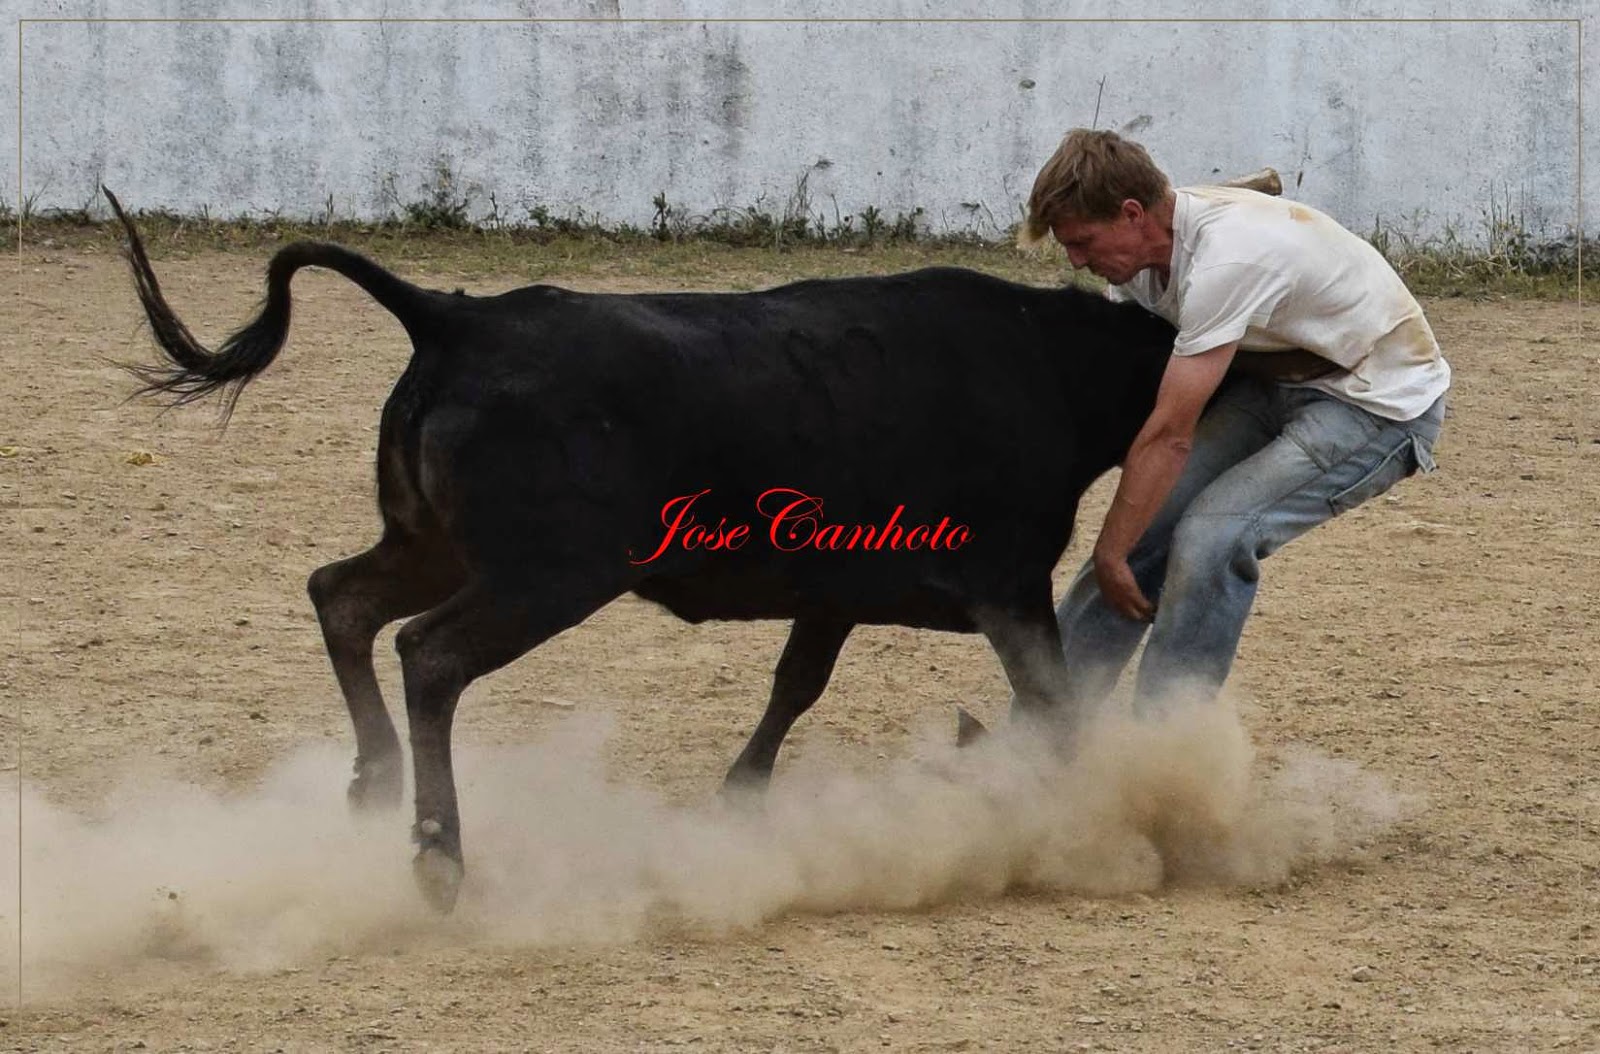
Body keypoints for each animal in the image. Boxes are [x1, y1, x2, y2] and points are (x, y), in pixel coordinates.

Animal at [105, 188, 1175, 912]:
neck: (1054, 363)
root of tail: (459, 318)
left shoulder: (834, 593)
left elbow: (797, 684)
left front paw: (739, 802)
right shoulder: (1009, 585)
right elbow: (1056, 705)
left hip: (435, 544)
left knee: (343, 597)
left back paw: (372, 789)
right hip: (547, 574)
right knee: (428, 652)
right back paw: (439, 851)